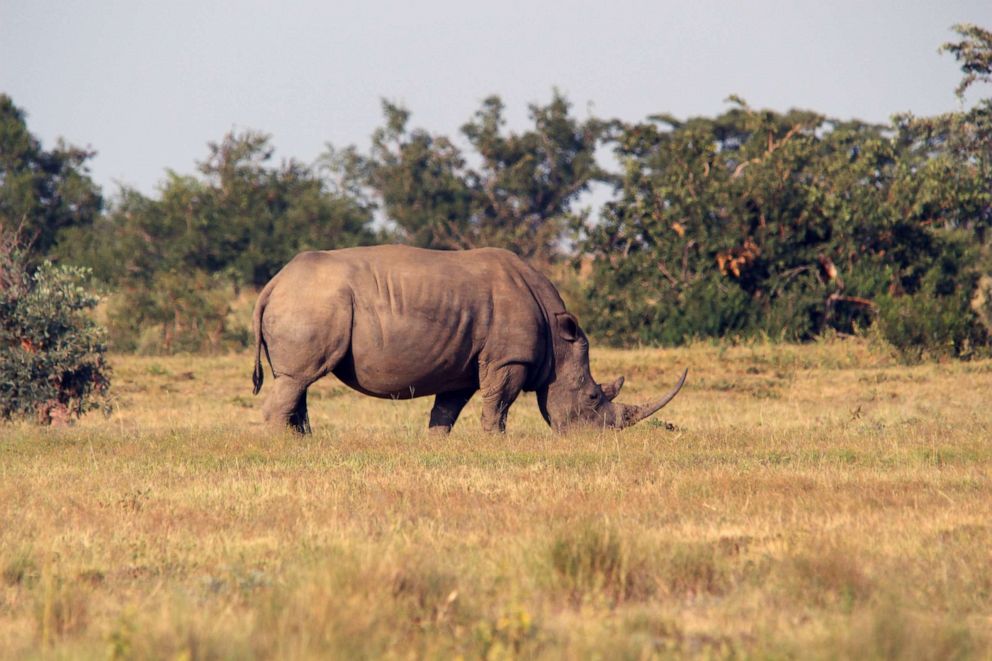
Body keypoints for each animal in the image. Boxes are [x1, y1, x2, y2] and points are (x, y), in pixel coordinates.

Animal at [252, 245, 684, 436]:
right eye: (593, 397)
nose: (601, 438)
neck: (558, 340)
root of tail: (273, 283)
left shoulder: (461, 364)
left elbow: (447, 410)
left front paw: (436, 445)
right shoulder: (510, 359)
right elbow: (499, 403)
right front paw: (498, 442)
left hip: (307, 302)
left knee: (297, 381)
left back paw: (302, 442)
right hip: (311, 303)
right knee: (298, 379)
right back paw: (285, 447)